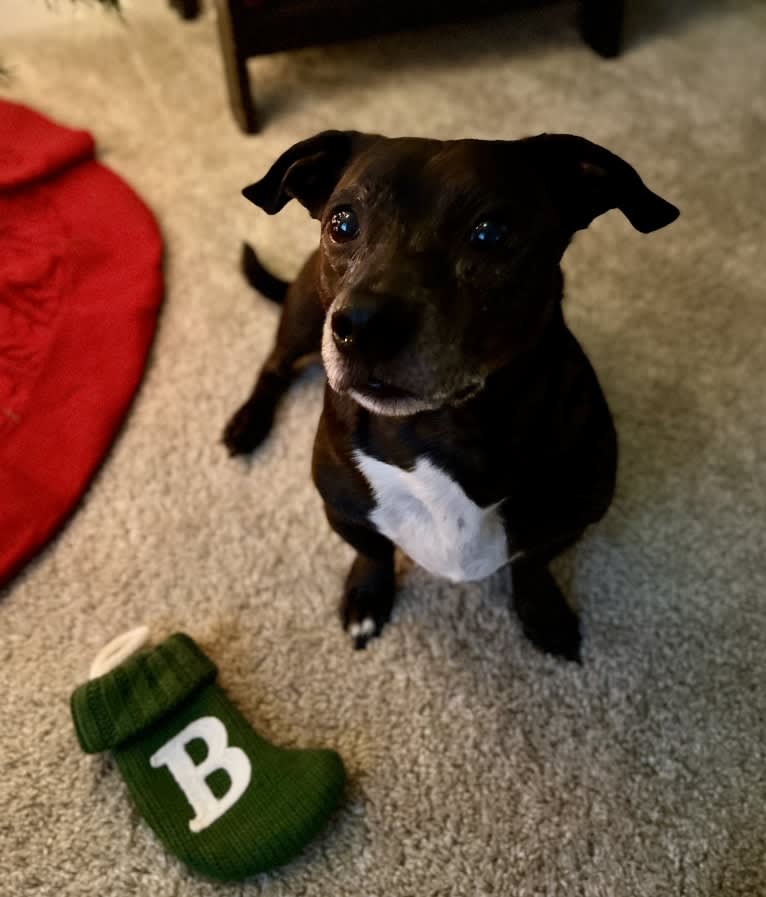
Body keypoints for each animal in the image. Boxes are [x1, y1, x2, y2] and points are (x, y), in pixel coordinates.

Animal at [225, 133, 680, 660]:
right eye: (342, 222)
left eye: (491, 233)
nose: (363, 325)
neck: (440, 429)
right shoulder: (344, 511)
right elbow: (372, 552)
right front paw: (367, 597)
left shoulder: (568, 521)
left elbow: (531, 565)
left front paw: (543, 612)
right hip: (304, 315)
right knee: (274, 365)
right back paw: (246, 424)